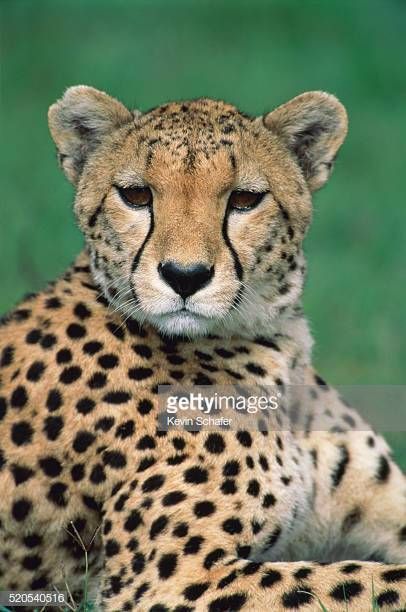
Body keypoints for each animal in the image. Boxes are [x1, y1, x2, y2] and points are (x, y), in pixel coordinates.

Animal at [0, 87, 406, 612]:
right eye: (135, 195)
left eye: (245, 199)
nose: (185, 275)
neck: (278, 349)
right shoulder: (168, 580)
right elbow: (366, 580)